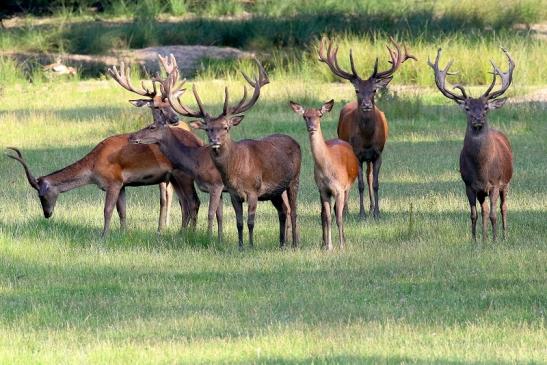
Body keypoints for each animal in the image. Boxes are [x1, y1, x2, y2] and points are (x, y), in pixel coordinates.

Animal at [168, 59, 302, 249]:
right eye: (208, 128)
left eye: (226, 127)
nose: (214, 140)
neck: (236, 169)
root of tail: (296, 142)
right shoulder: (233, 194)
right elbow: (238, 222)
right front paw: (239, 245)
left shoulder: (253, 191)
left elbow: (250, 221)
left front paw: (251, 245)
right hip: (275, 191)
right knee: (283, 210)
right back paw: (282, 243)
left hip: (294, 179)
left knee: (294, 211)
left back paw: (295, 243)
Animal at [286, 98, 360, 249]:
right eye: (305, 116)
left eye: (319, 115)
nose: (312, 127)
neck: (328, 169)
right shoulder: (323, 190)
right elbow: (328, 217)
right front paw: (329, 246)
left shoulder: (339, 189)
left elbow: (339, 217)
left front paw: (341, 245)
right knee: (324, 214)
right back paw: (323, 242)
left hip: (348, 186)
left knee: (342, 212)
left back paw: (344, 240)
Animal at [318, 37, 418, 219]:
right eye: (357, 90)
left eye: (374, 90)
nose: (366, 105)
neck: (366, 139)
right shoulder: (357, 154)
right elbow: (360, 185)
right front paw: (361, 213)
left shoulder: (378, 153)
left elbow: (375, 182)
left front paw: (377, 212)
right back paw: (346, 210)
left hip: (370, 158)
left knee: (369, 175)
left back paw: (371, 207)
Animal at [430, 48, 516, 242]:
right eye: (468, 108)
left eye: (485, 107)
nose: (478, 119)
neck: (481, 168)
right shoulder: (468, 184)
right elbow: (474, 214)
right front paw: (475, 241)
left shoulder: (495, 183)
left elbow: (493, 214)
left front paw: (495, 241)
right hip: (481, 192)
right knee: (483, 210)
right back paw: (484, 238)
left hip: (506, 182)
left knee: (503, 208)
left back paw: (505, 235)